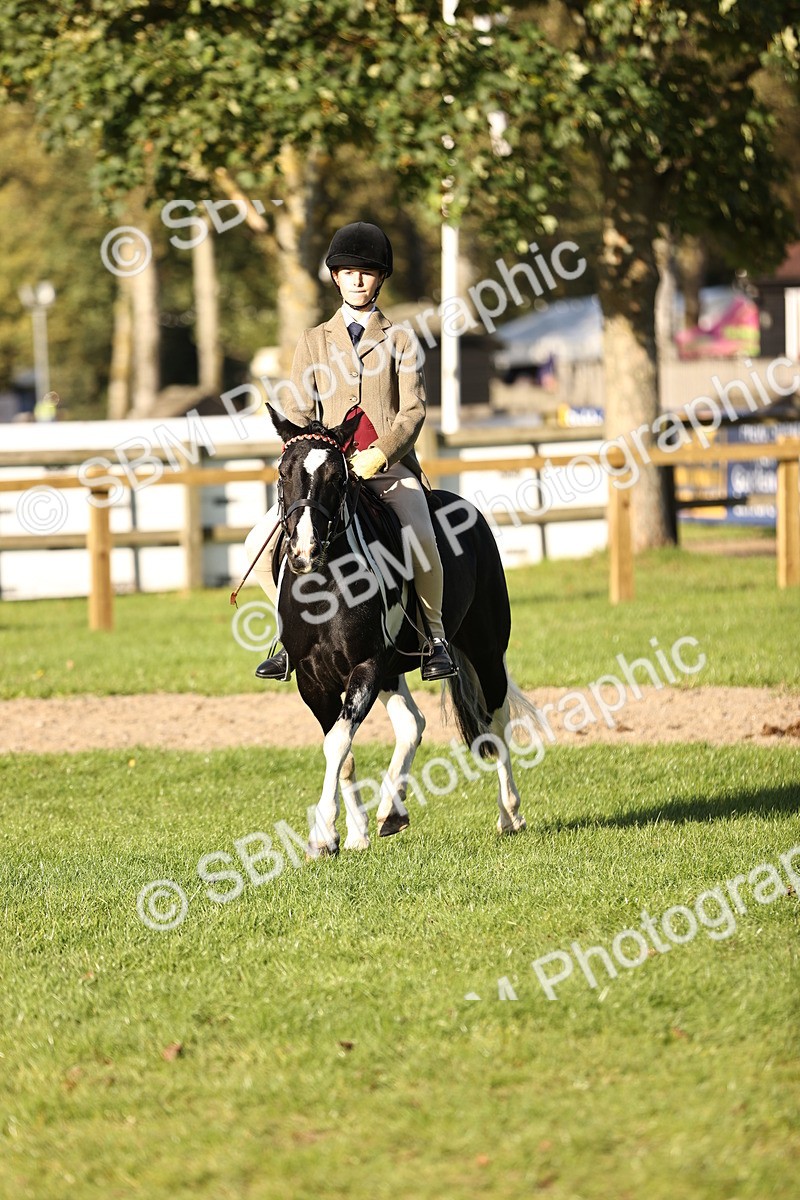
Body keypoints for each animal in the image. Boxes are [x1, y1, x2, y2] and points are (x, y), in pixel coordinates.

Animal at [265, 403, 539, 856]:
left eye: (338, 477)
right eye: (284, 472)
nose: (304, 552)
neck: (324, 586)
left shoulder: (367, 666)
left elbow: (337, 742)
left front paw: (322, 833)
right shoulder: (312, 679)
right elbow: (341, 749)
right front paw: (347, 833)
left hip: (484, 651)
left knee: (497, 722)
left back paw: (510, 814)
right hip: (395, 669)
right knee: (413, 724)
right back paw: (389, 811)